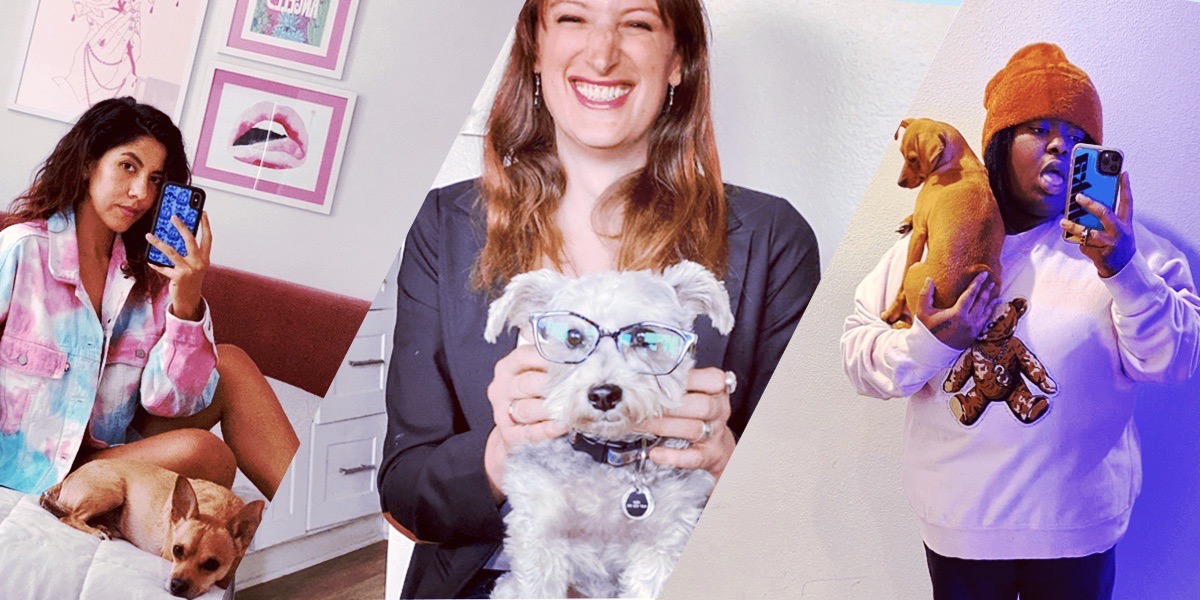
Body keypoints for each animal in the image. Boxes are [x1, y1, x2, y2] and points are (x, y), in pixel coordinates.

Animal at [39, 458, 265, 595]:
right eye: (177, 550)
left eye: (212, 564)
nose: (176, 585)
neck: (216, 509)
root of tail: (66, 480)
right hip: (111, 491)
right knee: (71, 517)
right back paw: (97, 531)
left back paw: (103, 526)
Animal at [482, 261, 734, 600]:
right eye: (574, 336)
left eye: (643, 337)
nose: (603, 394)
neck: (608, 458)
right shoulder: (539, 535)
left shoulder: (663, 542)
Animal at [883, 117, 1003, 328]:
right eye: (902, 155)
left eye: (913, 159)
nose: (900, 183)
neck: (957, 162)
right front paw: (906, 220)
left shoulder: (919, 233)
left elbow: (901, 286)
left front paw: (892, 312)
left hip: (914, 272)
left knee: (914, 320)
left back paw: (899, 322)